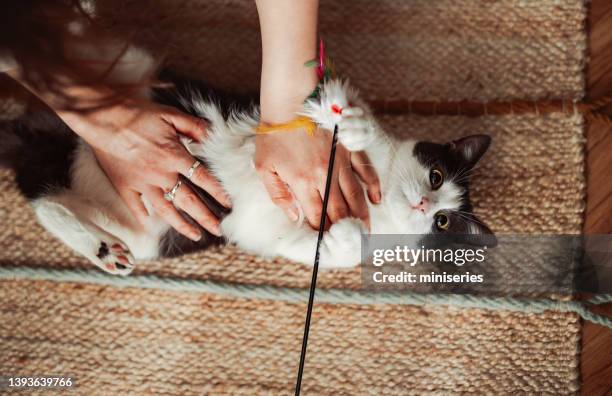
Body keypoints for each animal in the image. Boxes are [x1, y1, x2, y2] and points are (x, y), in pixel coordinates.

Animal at [0, 76, 494, 276]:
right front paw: (353, 126)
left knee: (42, 195)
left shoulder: (272, 235)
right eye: (435, 175)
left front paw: (345, 235)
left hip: (152, 232)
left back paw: (102, 249)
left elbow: (319, 246)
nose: (425, 205)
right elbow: (344, 117)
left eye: (443, 223)